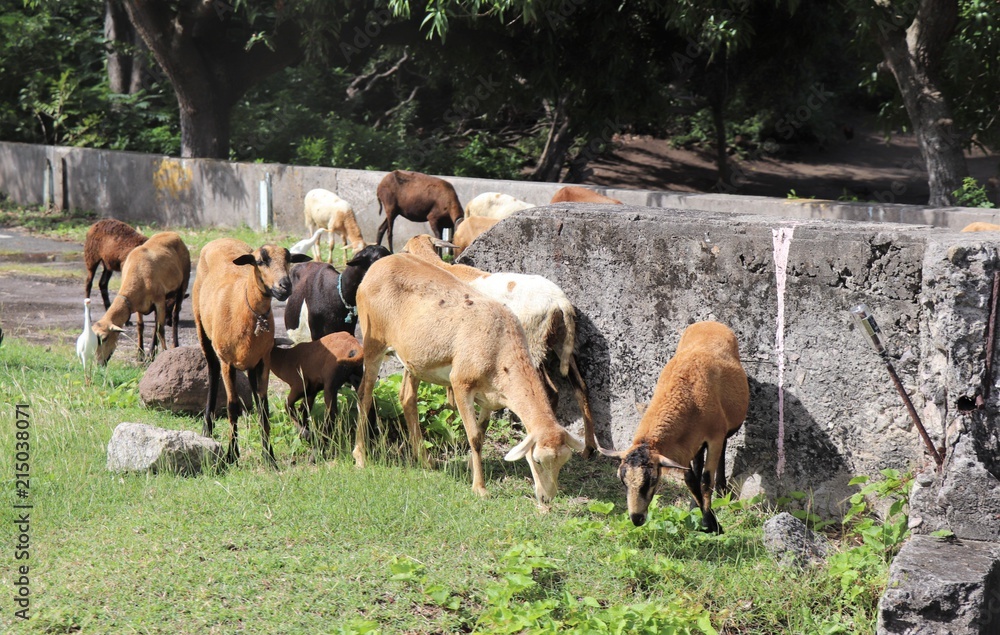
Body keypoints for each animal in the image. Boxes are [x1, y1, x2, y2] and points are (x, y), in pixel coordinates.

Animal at [91, 232, 191, 365]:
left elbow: (161, 329)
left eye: (105, 338)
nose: (99, 364)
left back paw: (174, 345)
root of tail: (173, 233)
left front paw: (164, 353)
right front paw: (140, 355)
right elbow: (140, 326)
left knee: (174, 316)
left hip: (182, 284)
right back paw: (151, 354)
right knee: (156, 324)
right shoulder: (138, 304)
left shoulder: (159, 300)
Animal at [192, 238, 311, 467]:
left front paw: (269, 457)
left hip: (251, 364)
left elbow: (264, 410)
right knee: (212, 371)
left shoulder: (263, 361)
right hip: (202, 327)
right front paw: (232, 455)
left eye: (289, 259)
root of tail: (221, 239)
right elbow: (233, 407)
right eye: (260, 261)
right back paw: (207, 428)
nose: (285, 286)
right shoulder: (227, 362)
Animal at [352, 253, 587, 507]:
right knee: (365, 394)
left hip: (413, 359)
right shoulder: (460, 383)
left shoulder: (489, 397)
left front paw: (472, 470)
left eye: (562, 462)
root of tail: (379, 265)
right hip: (373, 340)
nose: (546, 497)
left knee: (407, 398)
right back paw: (360, 457)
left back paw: (426, 461)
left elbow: (482, 431)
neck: (500, 348)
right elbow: (474, 437)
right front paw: (480, 488)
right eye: (537, 460)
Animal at [402, 235, 599, 457]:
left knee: (551, 392)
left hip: (533, 343)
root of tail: (560, 304)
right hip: (560, 341)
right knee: (581, 387)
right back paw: (588, 448)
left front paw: (452, 422)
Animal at [599, 321, 749, 533]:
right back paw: (696, 505)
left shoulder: (714, 437)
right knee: (699, 461)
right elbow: (690, 480)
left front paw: (712, 525)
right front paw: (700, 515)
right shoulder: (682, 446)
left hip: (722, 430)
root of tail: (709, 322)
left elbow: (705, 481)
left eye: (653, 480)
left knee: (722, 450)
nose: (636, 519)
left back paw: (721, 492)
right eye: (622, 480)